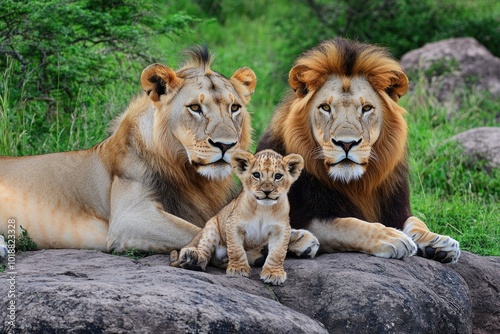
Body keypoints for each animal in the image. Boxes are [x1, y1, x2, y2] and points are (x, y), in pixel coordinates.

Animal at [170, 150, 314, 286]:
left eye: (278, 176)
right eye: (256, 175)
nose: (267, 191)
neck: (263, 209)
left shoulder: (281, 230)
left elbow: (278, 253)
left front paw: (274, 273)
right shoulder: (233, 225)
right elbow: (236, 249)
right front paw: (238, 269)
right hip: (212, 227)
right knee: (206, 252)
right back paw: (192, 260)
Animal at [258, 37, 460, 264]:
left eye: (366, 108)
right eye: (325, 108)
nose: (346, 143)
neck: (356, 184)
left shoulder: (396, 209)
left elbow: (414, 220)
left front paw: (438, 241)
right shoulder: (307, 215)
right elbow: (350, 224)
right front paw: (392, 237)